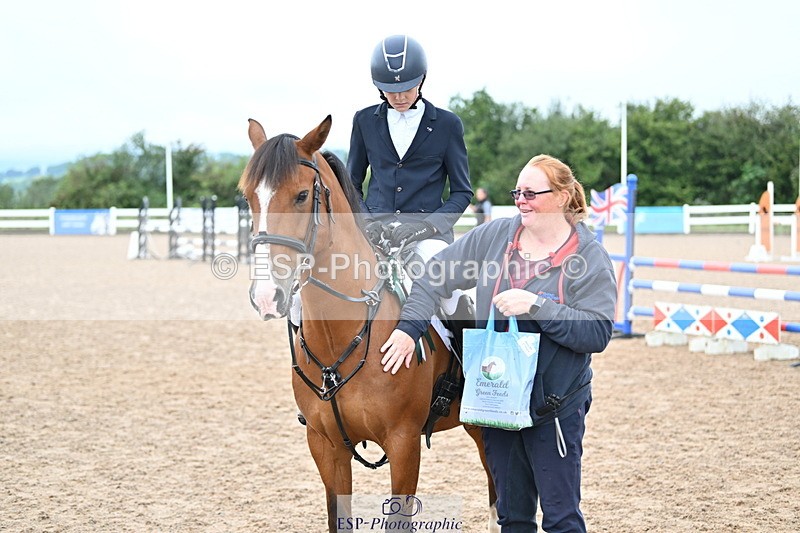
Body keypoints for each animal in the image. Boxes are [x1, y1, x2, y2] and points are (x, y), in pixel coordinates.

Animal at [238, 115, 498, 532]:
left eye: (300, 195)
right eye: (248, 197)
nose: (266, 295)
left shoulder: (404, 443)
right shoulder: (325, 447)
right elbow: (338, 517)